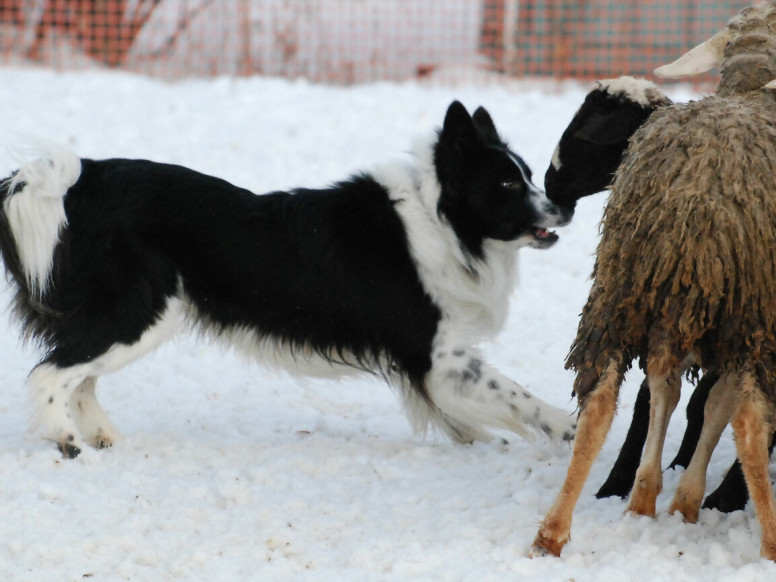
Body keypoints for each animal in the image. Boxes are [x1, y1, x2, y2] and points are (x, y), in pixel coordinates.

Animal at [532, 2, 776, 564]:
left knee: (607, 398)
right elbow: (703, 404)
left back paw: (562, 528)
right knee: (743, 417)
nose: (549, 182)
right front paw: (692, 490)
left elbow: (682, 400)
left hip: (626, 293)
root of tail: (699, 192)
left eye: (586, 134)